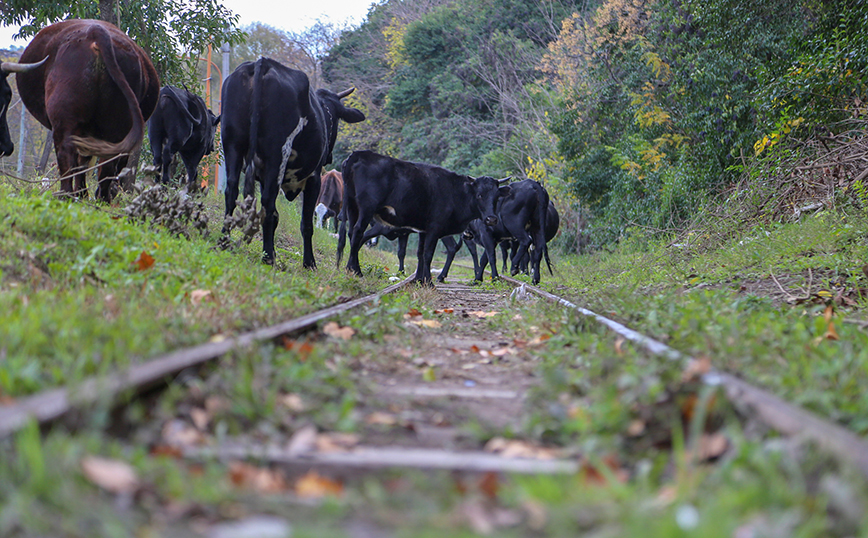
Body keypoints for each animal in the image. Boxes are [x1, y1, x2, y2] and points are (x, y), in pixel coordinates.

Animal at [17, 19, 160, 201]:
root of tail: (95, 32)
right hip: (115, 124)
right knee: (105, 162)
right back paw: (99, 197)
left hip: (66, 120)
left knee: (68, 156)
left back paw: (69, 195)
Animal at [222, 57, 364, 266]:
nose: (329, 157)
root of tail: (262, 63)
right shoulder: (314, 179)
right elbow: (306, 224)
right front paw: (309, 262)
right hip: (277, 154)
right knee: (267, 203)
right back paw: (268, 257)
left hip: (232, 143)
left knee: (231, 191)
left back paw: (224, 240)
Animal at [340, 150, 508, 284]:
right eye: (479, 195)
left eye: (496, 197)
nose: (491, 219)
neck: (454, 191)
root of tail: (359, 154)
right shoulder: (434, 228)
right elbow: (428, 254)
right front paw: (428, 282)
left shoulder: (423, 230)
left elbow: (420, 254)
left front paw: (419, 280)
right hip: (366, 208)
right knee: (357, 233)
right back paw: (355, 270)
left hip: (352, 207)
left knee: (351, 233)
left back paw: (351, 268)